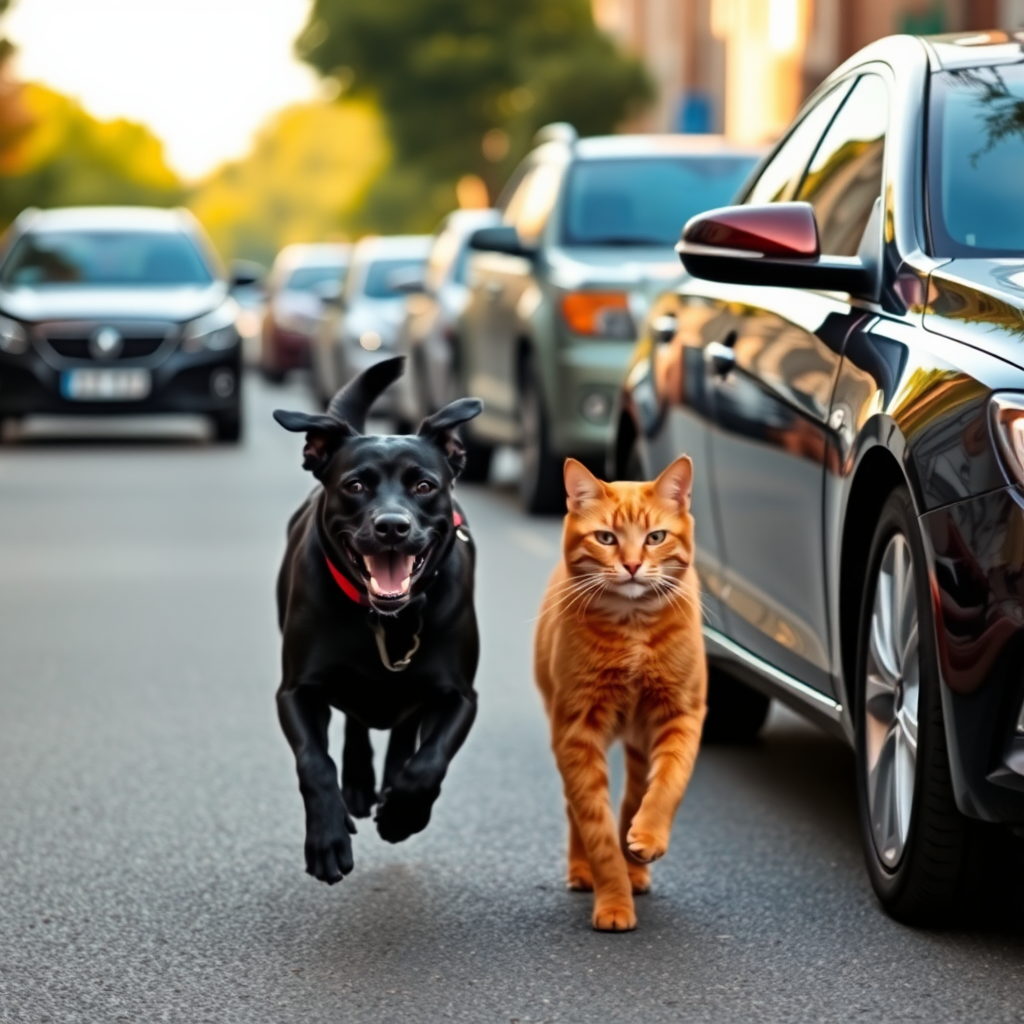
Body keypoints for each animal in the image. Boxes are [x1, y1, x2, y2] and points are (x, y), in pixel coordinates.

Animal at [272, 358, 479, 880]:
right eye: (356, 485)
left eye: (424, 486)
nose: (391, 526)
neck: (387, 619)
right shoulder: (296, 691)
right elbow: (314, 762)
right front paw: (327, 838)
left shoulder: (460, 696)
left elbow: (431, 760)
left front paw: (403, 812)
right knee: (357, 720)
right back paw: (361, 783)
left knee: (406, 726)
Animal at [536, 460, 704, 933]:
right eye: (606, 538)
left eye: (656, 537)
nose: (631, 565)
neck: (633, 628)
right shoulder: (575, 733)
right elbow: (596, 828)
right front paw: (613, 902)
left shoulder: (681, 715)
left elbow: (668, 786)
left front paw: (646, 839)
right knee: (575, 809)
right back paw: (583, 871)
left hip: (640, 741)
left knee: (633, 796)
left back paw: (637, 865)